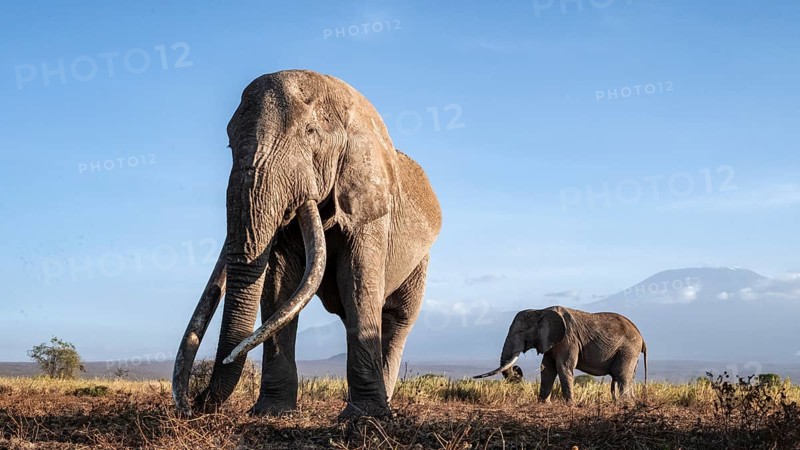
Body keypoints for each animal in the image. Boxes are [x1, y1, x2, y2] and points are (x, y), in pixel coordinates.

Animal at [171, 70, 442, 419]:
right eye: (230, 142)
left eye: (311, 132)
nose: (197, 402)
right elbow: (278, 284)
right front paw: (272, 413)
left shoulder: (368, 203)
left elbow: (357, 281)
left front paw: (365, 418)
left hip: (421, 260)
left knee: (398, 318)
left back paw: (385, 404)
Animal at [474, 306, 647, 403]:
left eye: (520, 331)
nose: (517, 372)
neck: (541, 311)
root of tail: (642, 337)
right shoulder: (551, 340)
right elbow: (547, 368)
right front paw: (543, 403)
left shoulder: (568, 338)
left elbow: (563, 366)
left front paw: (570, 405)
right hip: (630, 352)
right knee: (626, 376)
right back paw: (629, 403)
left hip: (628, 349)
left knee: (622, 375)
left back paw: (625, 404)